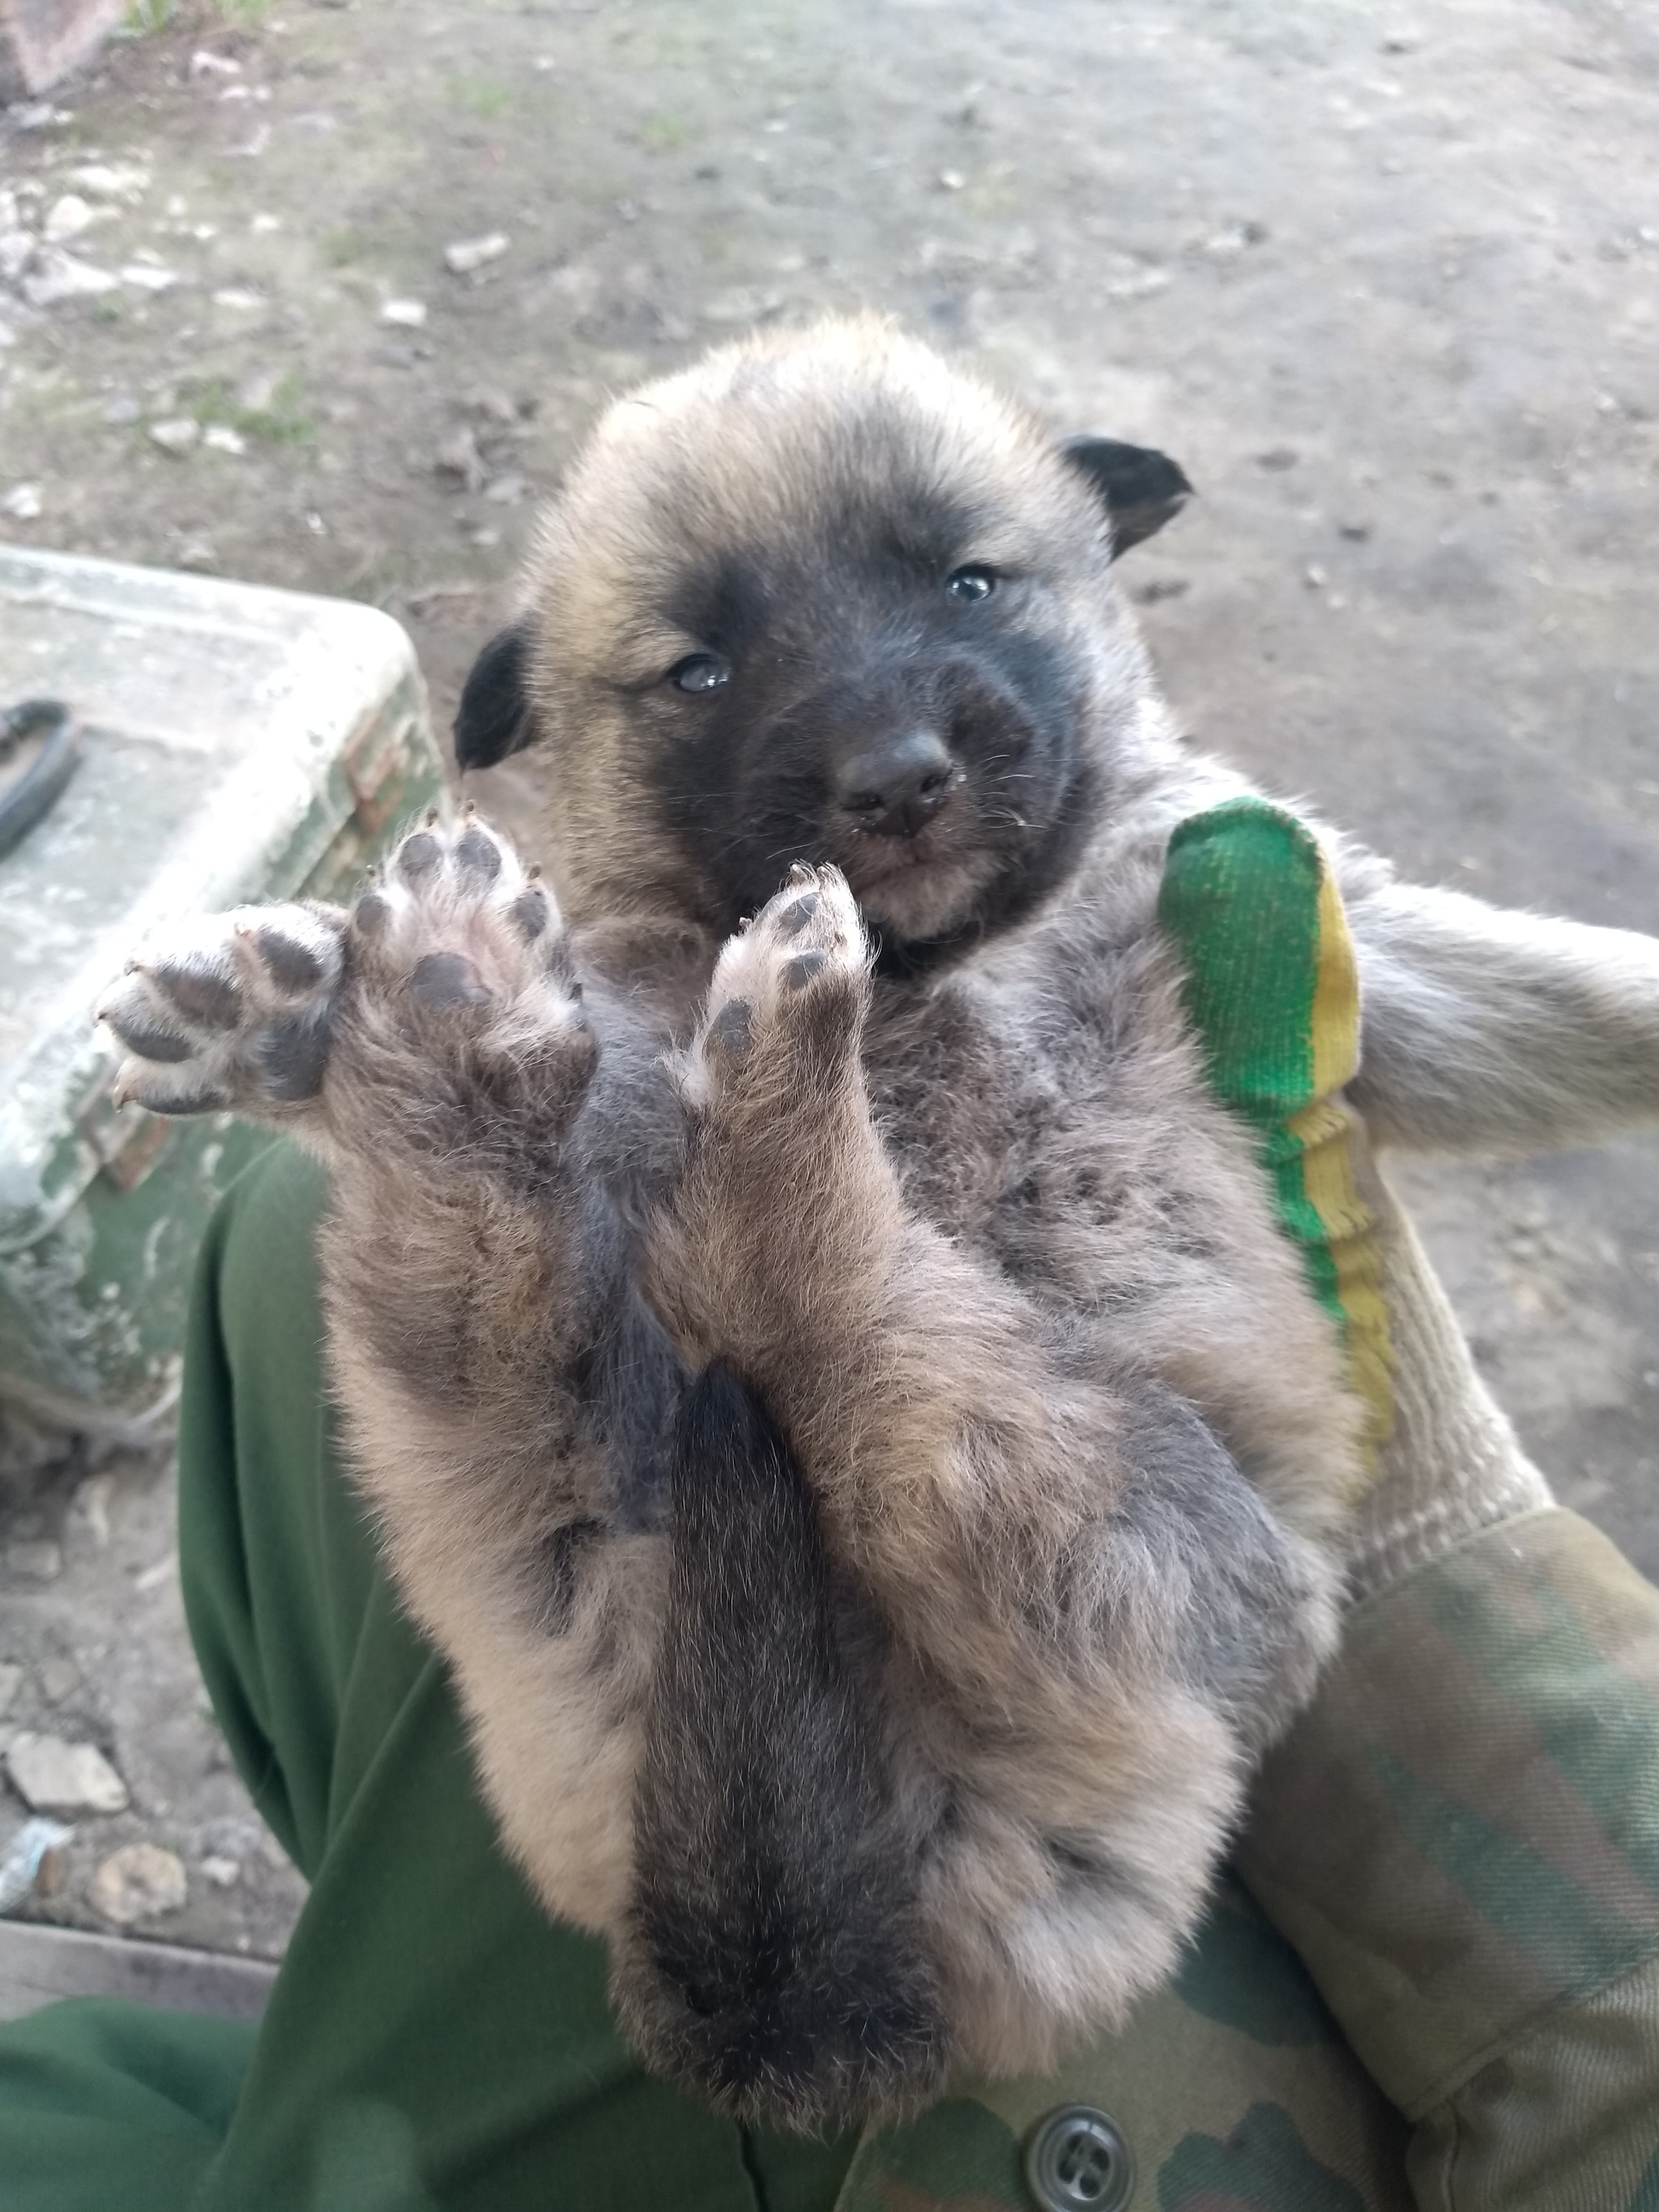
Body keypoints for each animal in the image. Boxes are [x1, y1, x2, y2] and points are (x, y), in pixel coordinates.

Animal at [100, 320, 1659, 2132]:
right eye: (699, 672)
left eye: (971, 583)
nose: (896, 783)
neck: (941, 970)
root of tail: (830, 1982)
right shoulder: (651, 1006)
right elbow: (620, 1036)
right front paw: (289, 1006)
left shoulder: (1355, 944)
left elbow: (1556, 990)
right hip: (656, 1497)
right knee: (691, 1298)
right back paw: (420, 1015)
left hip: (1137, 1537)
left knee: (799, 1335)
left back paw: (481, 1032)